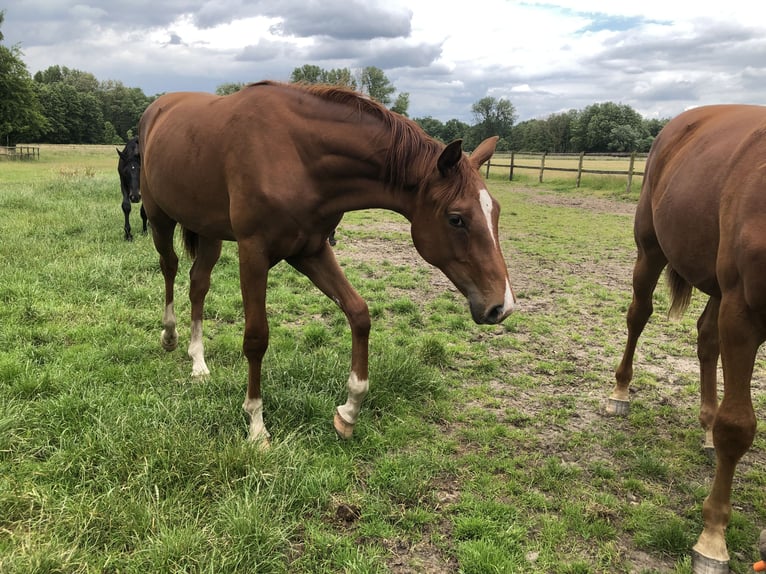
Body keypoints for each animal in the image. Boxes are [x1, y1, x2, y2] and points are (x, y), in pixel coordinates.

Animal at [141, 81, 520, 448]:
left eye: (497, 211)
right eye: (456, 219)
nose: (501, 306)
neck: (298, 156)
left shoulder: (310, 251)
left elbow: (359, 313)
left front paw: (348, 413)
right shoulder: (254, 254)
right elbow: (256, 338)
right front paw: (256, 426)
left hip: (210, 233)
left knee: (198, 284)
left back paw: (198, 362)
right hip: (160, 220)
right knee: (170, 268)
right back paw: (170, 335)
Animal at [608, 104, 766, 574]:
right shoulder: (744, 311)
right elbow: (738, 426)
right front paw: (712, 538)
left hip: (716, 285)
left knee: (706, 338)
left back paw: (706, 427)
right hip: (652, 252)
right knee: (638, 316)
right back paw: (620, 393)